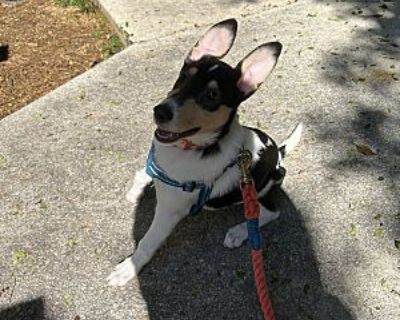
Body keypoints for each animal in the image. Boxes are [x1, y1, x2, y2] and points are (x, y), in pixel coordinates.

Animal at [106, 18, 300, 286]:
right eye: (183, 77)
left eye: (211, 95)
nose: (160, 112)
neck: (190, 150)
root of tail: (279, 153)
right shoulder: (158, 164)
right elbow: (143, 172)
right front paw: (136, 190)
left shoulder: (169, 211)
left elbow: (147, 241)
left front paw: (128, 268)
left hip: (259, 191)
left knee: (268, 213)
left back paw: (238, 232)